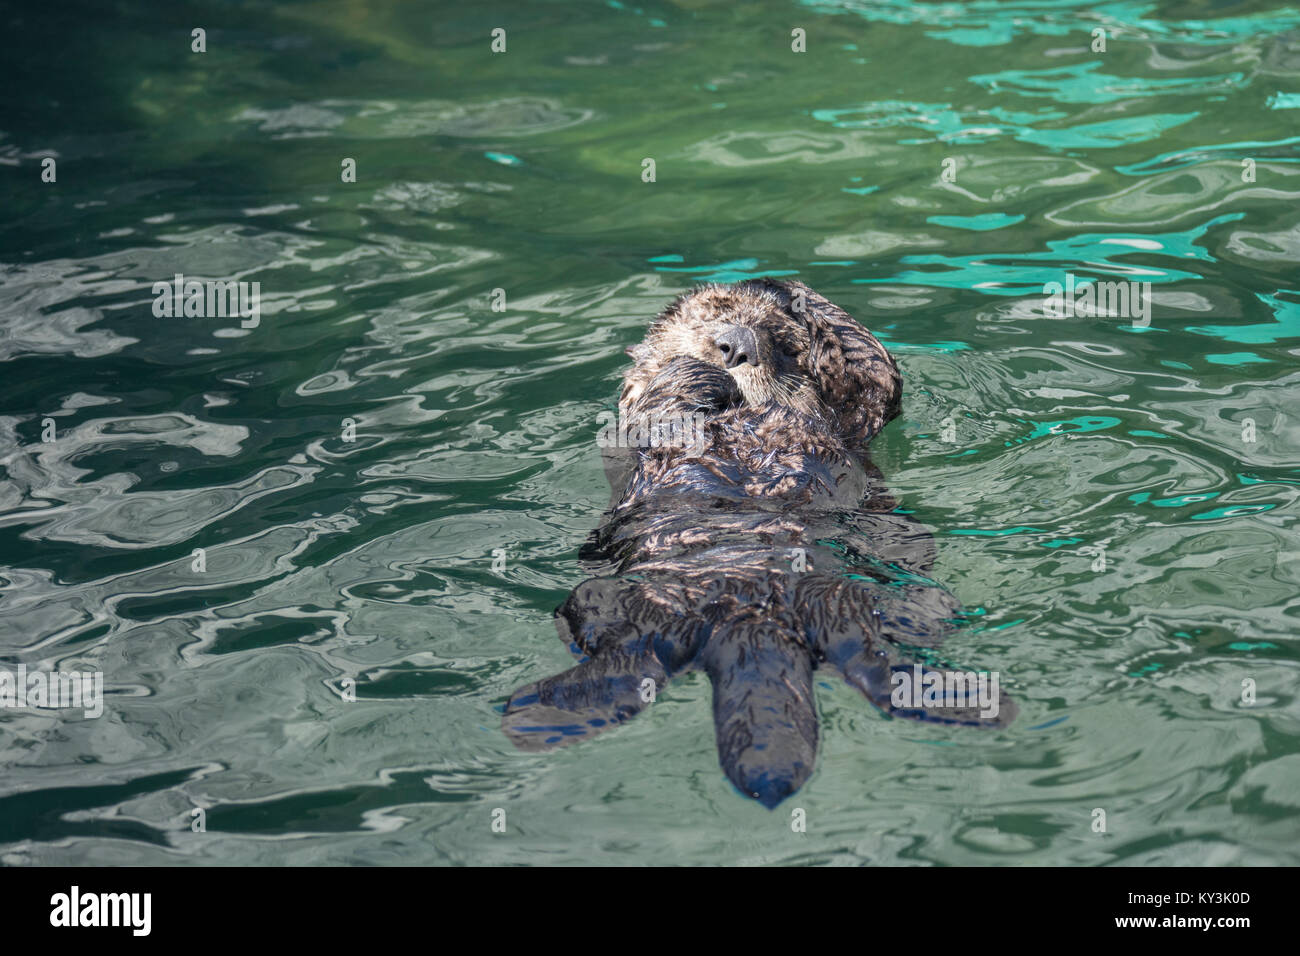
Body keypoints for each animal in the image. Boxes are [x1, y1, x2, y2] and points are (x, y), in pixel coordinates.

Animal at [503, 279, 1015, 807]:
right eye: (710, 319)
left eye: (785, 345)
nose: (734, 345)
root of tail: (751, 620)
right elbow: (646, 411)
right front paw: (694, 374)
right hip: (616, 605)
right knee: (627, 656)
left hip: (852, 606)